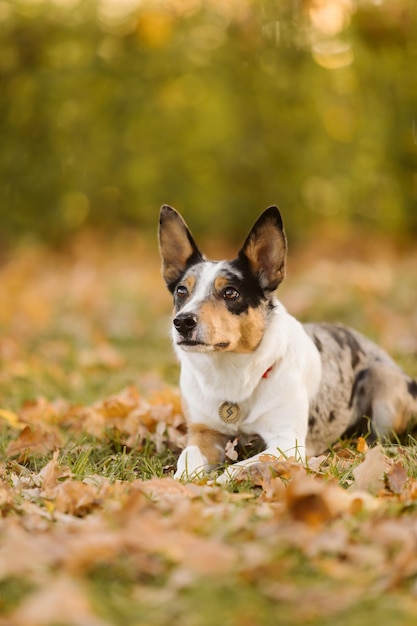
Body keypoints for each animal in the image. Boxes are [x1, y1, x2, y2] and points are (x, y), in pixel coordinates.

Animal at [158, 202, 414, 480]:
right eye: (182, 291)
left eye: (230, 292)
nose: (183, 322)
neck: (231, 373)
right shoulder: (203, 434)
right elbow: (187, 460)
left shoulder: (287, 444)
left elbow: (238, 467)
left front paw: (217, 482)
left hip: (382, 381)